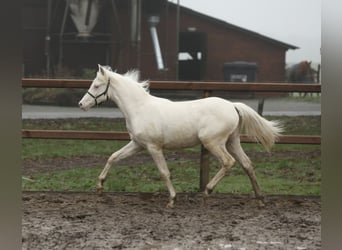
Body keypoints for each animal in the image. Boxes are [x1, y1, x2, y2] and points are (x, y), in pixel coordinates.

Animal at [79, 64, 282, 207]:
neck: (139, 108)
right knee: (247, 164)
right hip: (232, 141)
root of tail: (232, 105)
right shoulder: (137, 144)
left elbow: (164, 172)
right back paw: (260, 199)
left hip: (213, 142)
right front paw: (100, 187)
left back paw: (207, 192)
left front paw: (172, 200)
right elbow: (113, 157)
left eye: (96, 86)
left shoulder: (153, 147)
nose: (81, 104)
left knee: (228, 162)